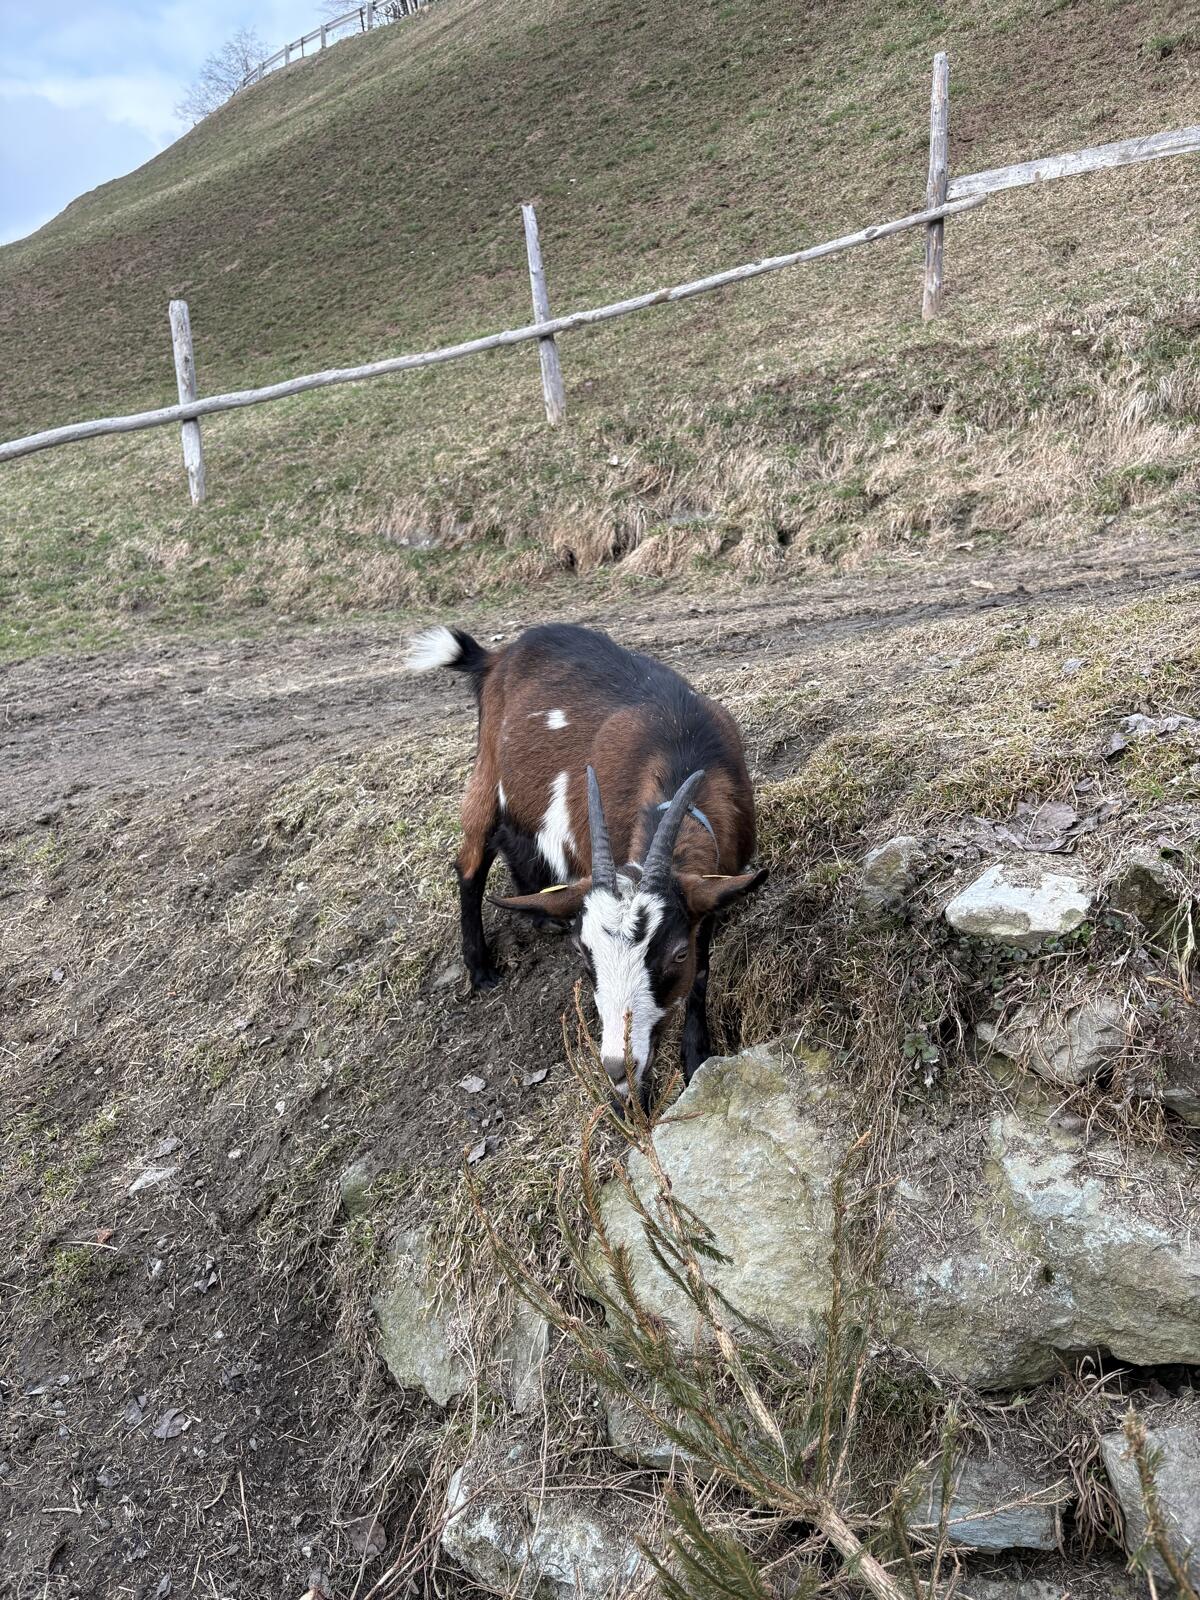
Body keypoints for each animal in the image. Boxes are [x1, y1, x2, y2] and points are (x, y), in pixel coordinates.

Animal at [406, 622, 766, 1102]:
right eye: (583, 951)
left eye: (677, 953)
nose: (617, 1065)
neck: (680, 748)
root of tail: (499, 656)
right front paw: (629, 1102)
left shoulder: (711, 889)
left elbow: (702, 974)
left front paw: (695, 1060)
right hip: (487, 772)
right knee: (470, 862)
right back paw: (480, 968)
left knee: (511, 837)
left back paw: (540, 914)